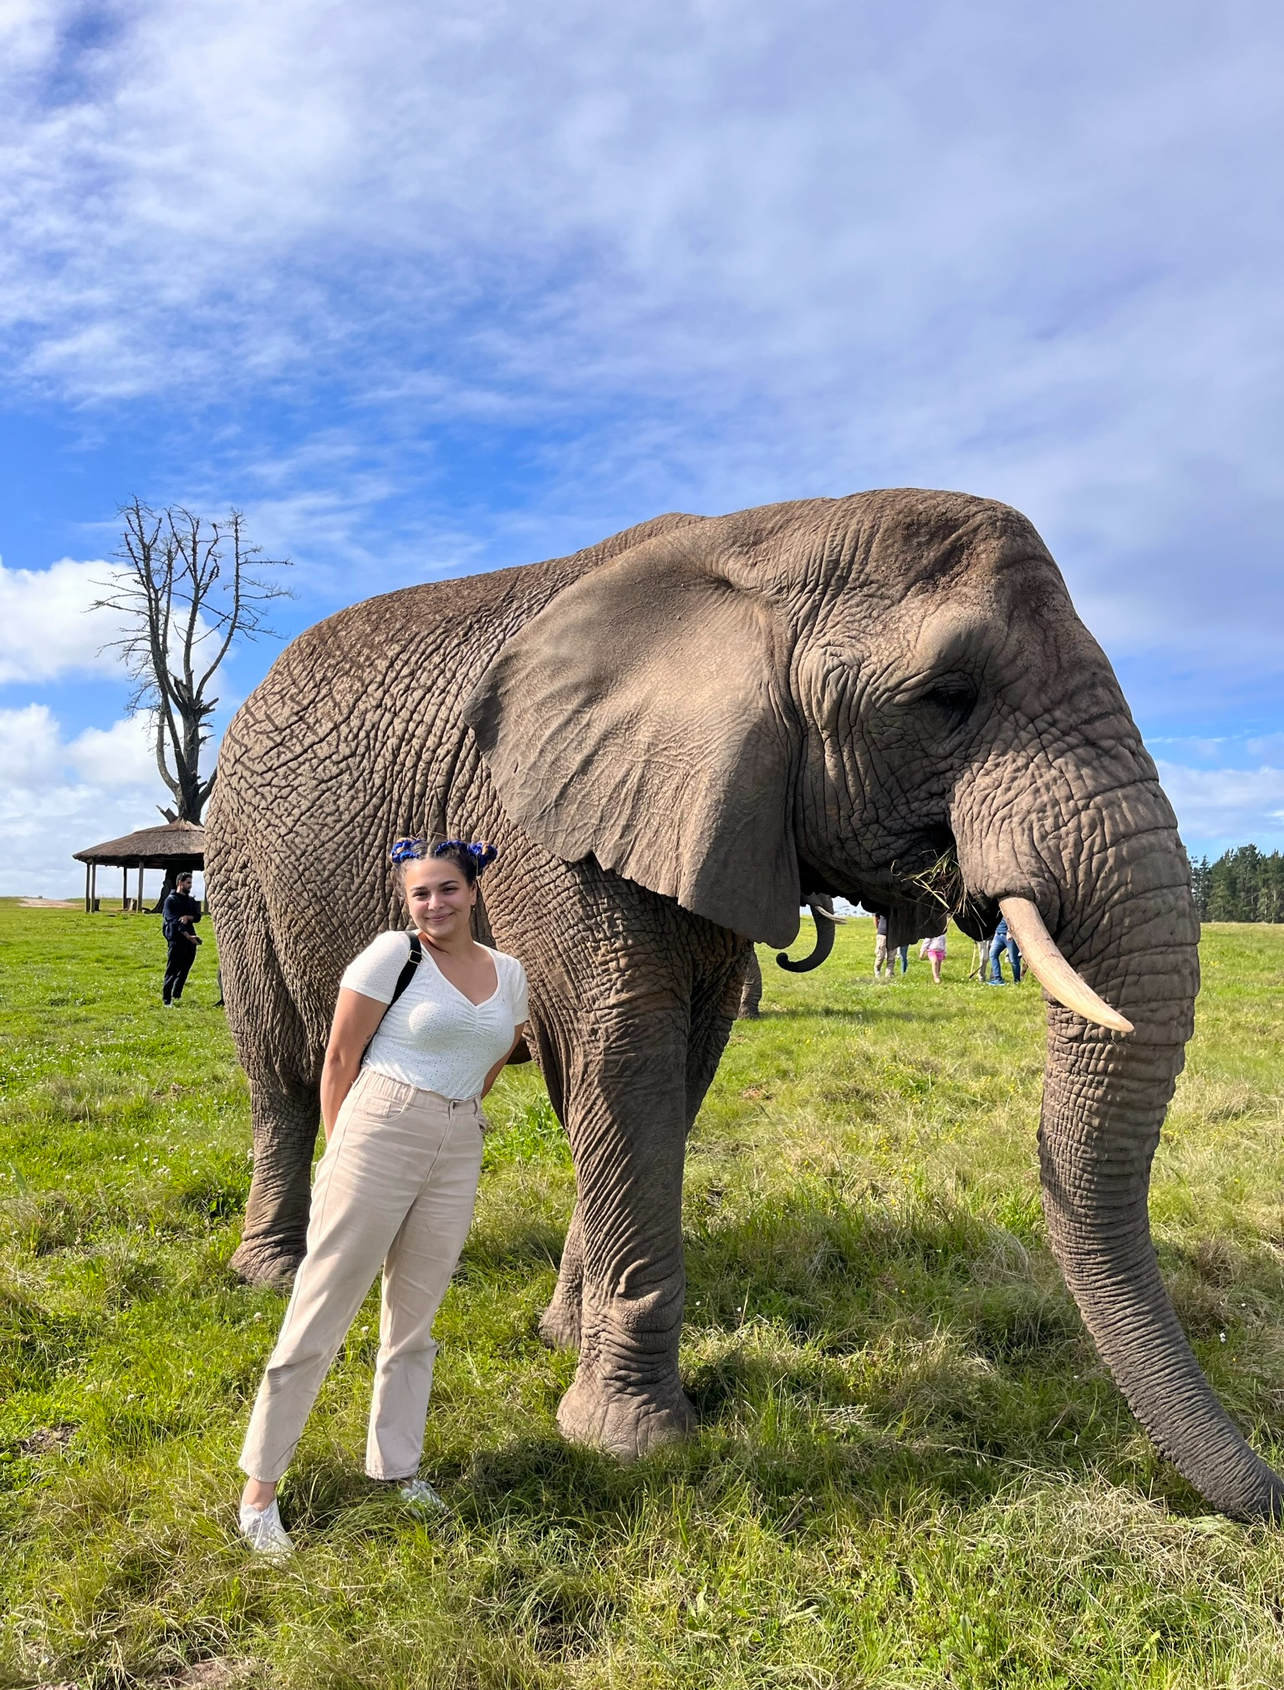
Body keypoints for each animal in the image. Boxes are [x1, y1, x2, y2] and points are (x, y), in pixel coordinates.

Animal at [207, 486, 1284, 1521]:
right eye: (948, 697)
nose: (1270, 1493)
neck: (766, 542)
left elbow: (672, 1071)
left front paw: (564, 1339)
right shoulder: (546, 825)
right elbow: (623, 1059)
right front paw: (629, 1442)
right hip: (238, 860)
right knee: (284, 1069)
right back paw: (269, 1273)